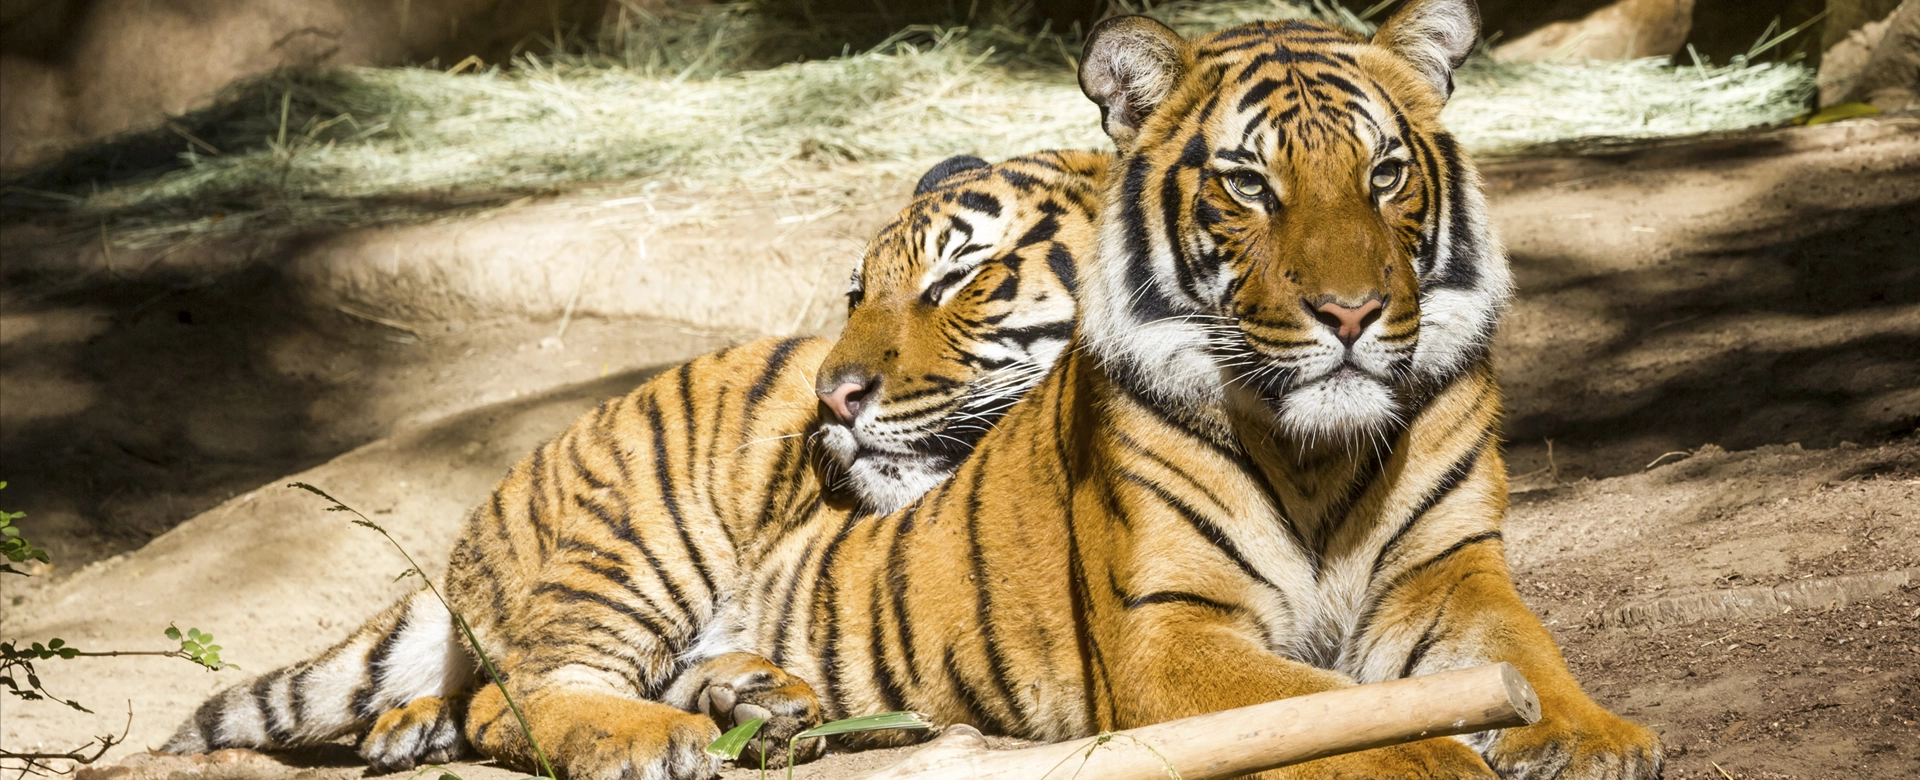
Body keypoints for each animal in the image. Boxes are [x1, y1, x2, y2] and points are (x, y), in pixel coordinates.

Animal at [159, 149, 1110, 772]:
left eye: (957, 281)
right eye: (855, 294)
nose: (832, 399)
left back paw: (752, 698)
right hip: (643, 540)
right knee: (515, 692)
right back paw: (658, 737)